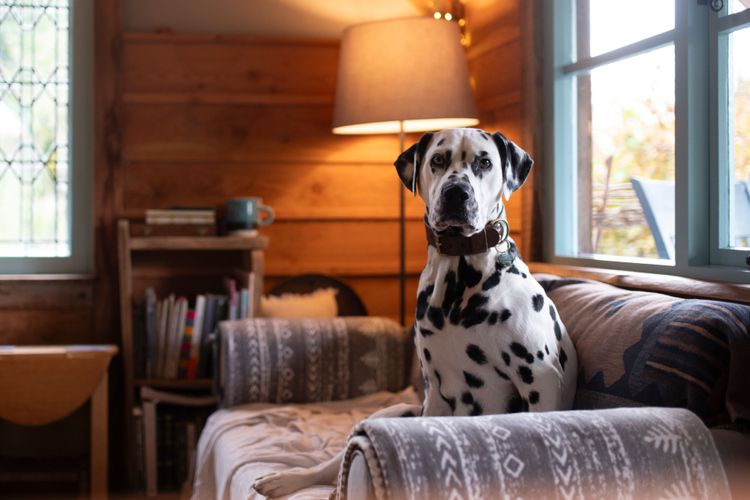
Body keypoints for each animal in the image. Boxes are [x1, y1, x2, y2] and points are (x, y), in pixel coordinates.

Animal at [256, 128, 580, 496]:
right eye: (438, 159)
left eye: (485, 162)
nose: (457, 193)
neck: (460, 282)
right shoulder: (435, 391)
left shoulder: (541, 380)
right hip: (390, 412)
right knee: (333, 465)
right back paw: (287, 479)